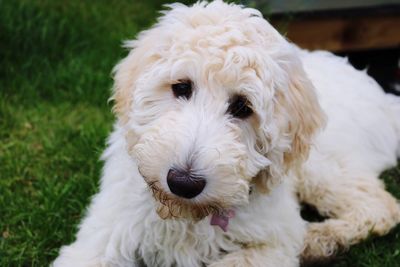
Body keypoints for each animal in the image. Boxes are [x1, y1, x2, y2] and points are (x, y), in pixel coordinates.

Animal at [53, 1, 400, 266]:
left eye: (242, 107)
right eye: (181, 87)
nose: (183, 182)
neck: (187, 215)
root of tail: (385, 99)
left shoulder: (276, 242)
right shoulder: (106, 230)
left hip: (322, 164)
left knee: (380, 206)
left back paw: (319, 238)